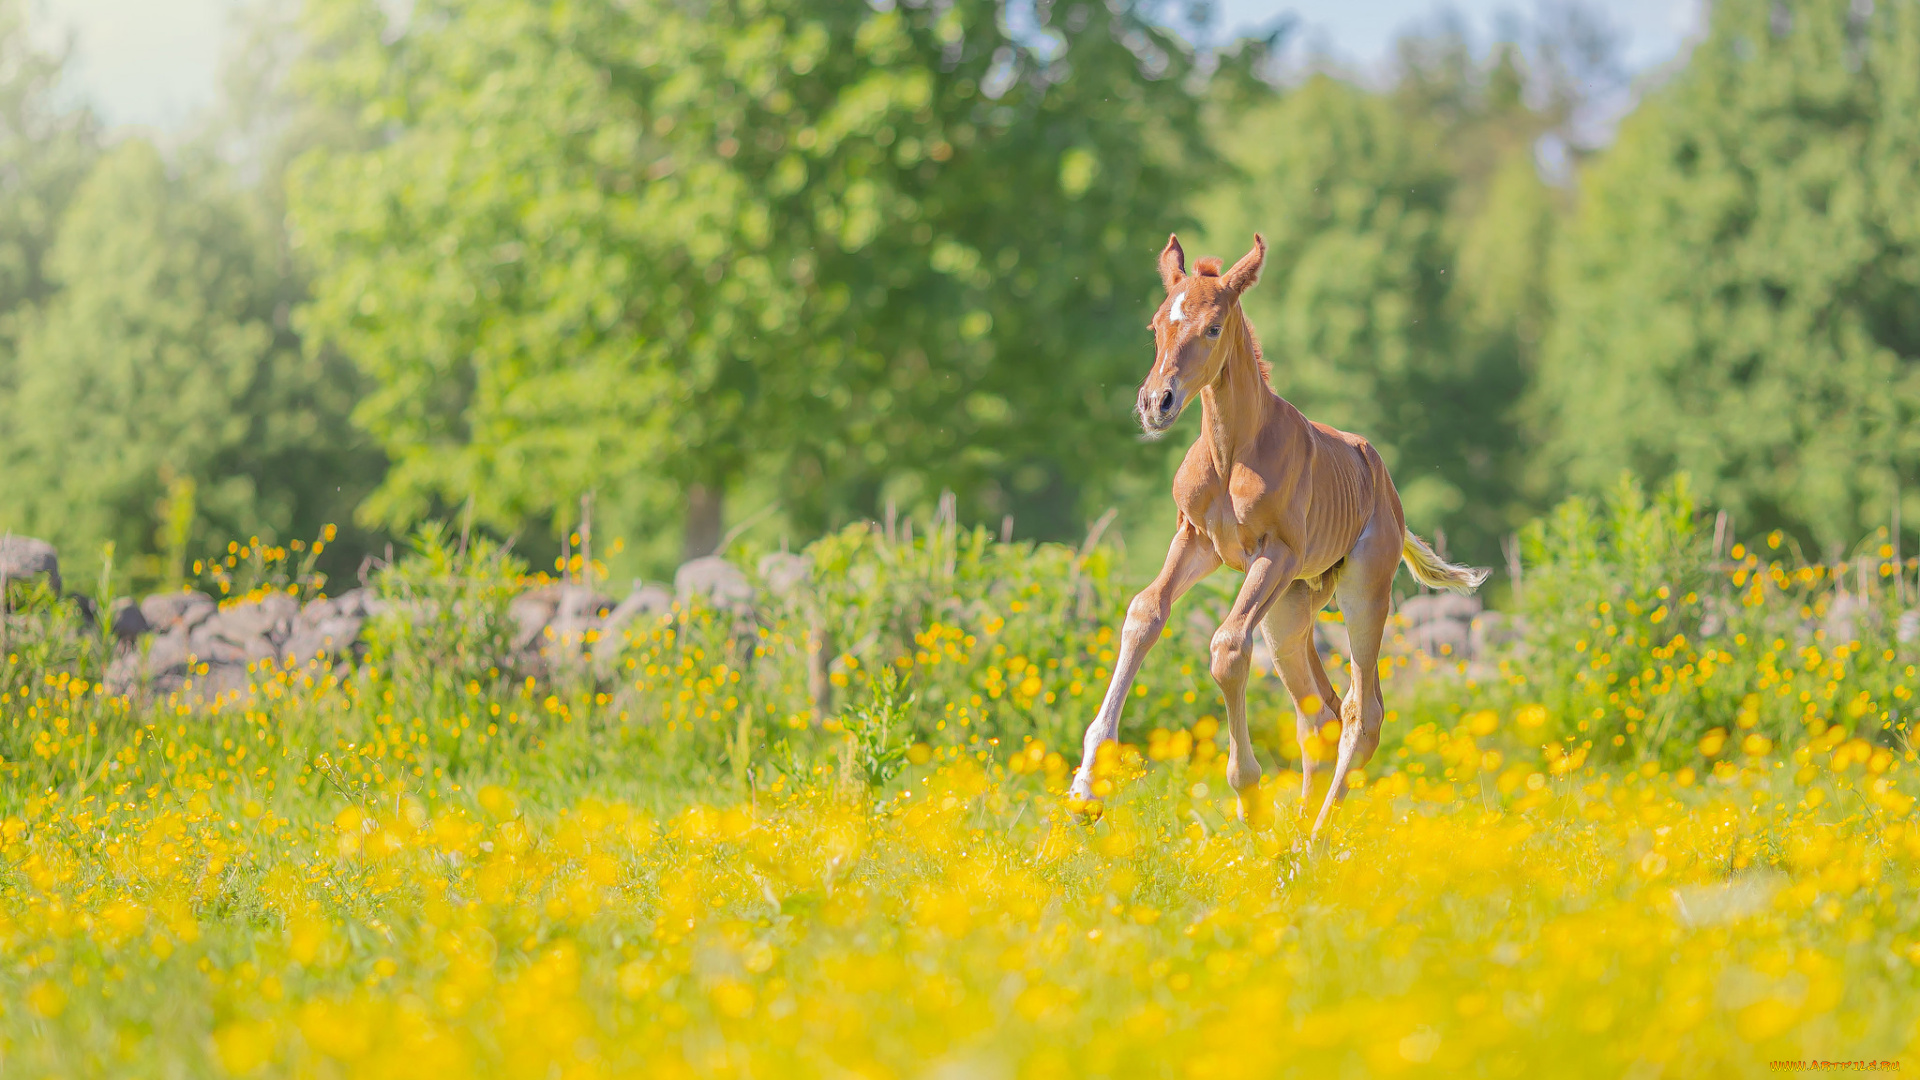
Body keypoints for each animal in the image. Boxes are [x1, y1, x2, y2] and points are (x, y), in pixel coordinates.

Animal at [1067, 231, 1482, 834]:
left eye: (1213, 327)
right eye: (1156, 325)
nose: (1156, 403)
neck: (1231, 452)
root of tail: (1388, 492)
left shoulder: (1277, 553)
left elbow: (1226, 645)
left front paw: (1249, 795)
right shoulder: (1195, 539)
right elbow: (1145, 613)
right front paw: (1085, 788)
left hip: (1362, 591)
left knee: (1363, 711)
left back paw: (1315, 841)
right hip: (1289, 610)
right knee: (1320, 714)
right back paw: (1296, 834)